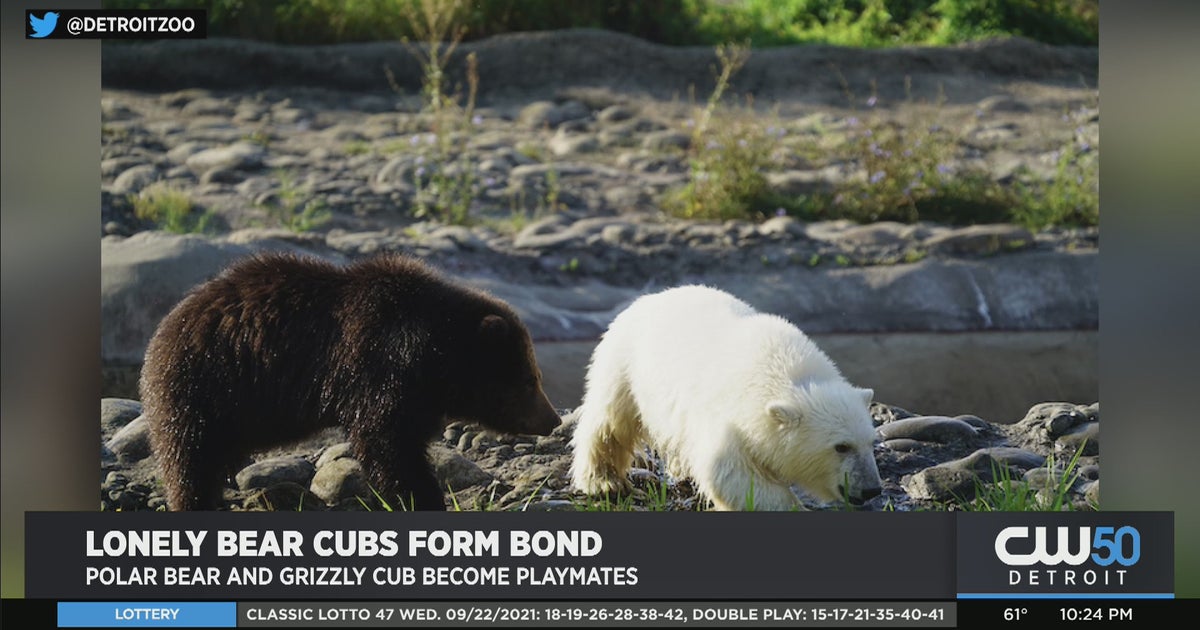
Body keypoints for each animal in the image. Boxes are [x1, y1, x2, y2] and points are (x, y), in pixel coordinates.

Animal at [140, 252, 561, 511]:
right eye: (529, 380)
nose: (553, 419)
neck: (435, 355)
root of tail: (164, 327)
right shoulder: (379, 365)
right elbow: (387, 443)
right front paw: (421, 495)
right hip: (203, 381)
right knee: (189, 453)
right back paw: (195, 499)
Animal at [570, 285, 882, 510]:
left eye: (870, 442)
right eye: (841, 446)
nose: (871, 489)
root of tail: (648, 299)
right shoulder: (729, 418)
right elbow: (730, 474)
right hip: (625, 364)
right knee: (609, 422)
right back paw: (603, 480)